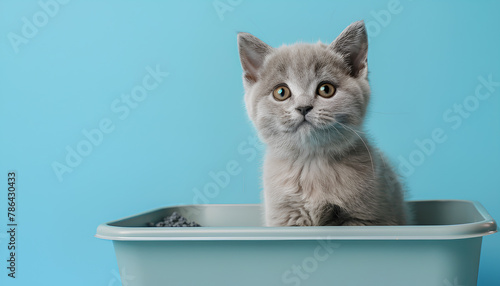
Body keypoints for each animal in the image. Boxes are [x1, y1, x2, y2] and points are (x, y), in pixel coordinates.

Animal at [236, 21, 408, 227]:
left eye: (326, 89)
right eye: (281, 92)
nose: (303, 107)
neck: (311, 164)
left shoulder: (368, 219)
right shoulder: (285, 218)